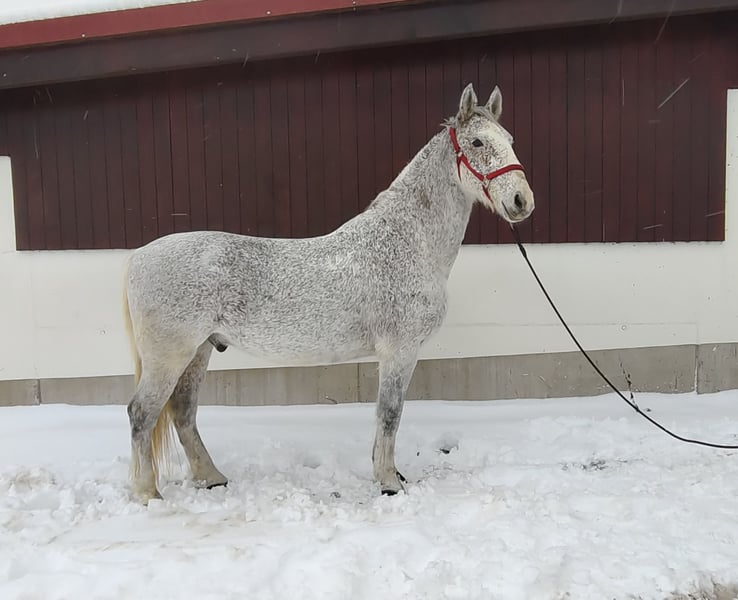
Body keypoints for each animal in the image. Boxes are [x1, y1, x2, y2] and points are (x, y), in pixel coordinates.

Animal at [122, 83, 534, 503]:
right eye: (477, 142)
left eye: (510, 140)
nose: (522, 201)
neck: (406, 242)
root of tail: (138, 257)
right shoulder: (399, 352)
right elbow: (390, 414)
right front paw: (389, 482)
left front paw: (390, 474)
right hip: (168, 357)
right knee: (142, 413)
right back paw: (148, 493)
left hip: (199, 351)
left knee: (183, 411)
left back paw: (212, 477)